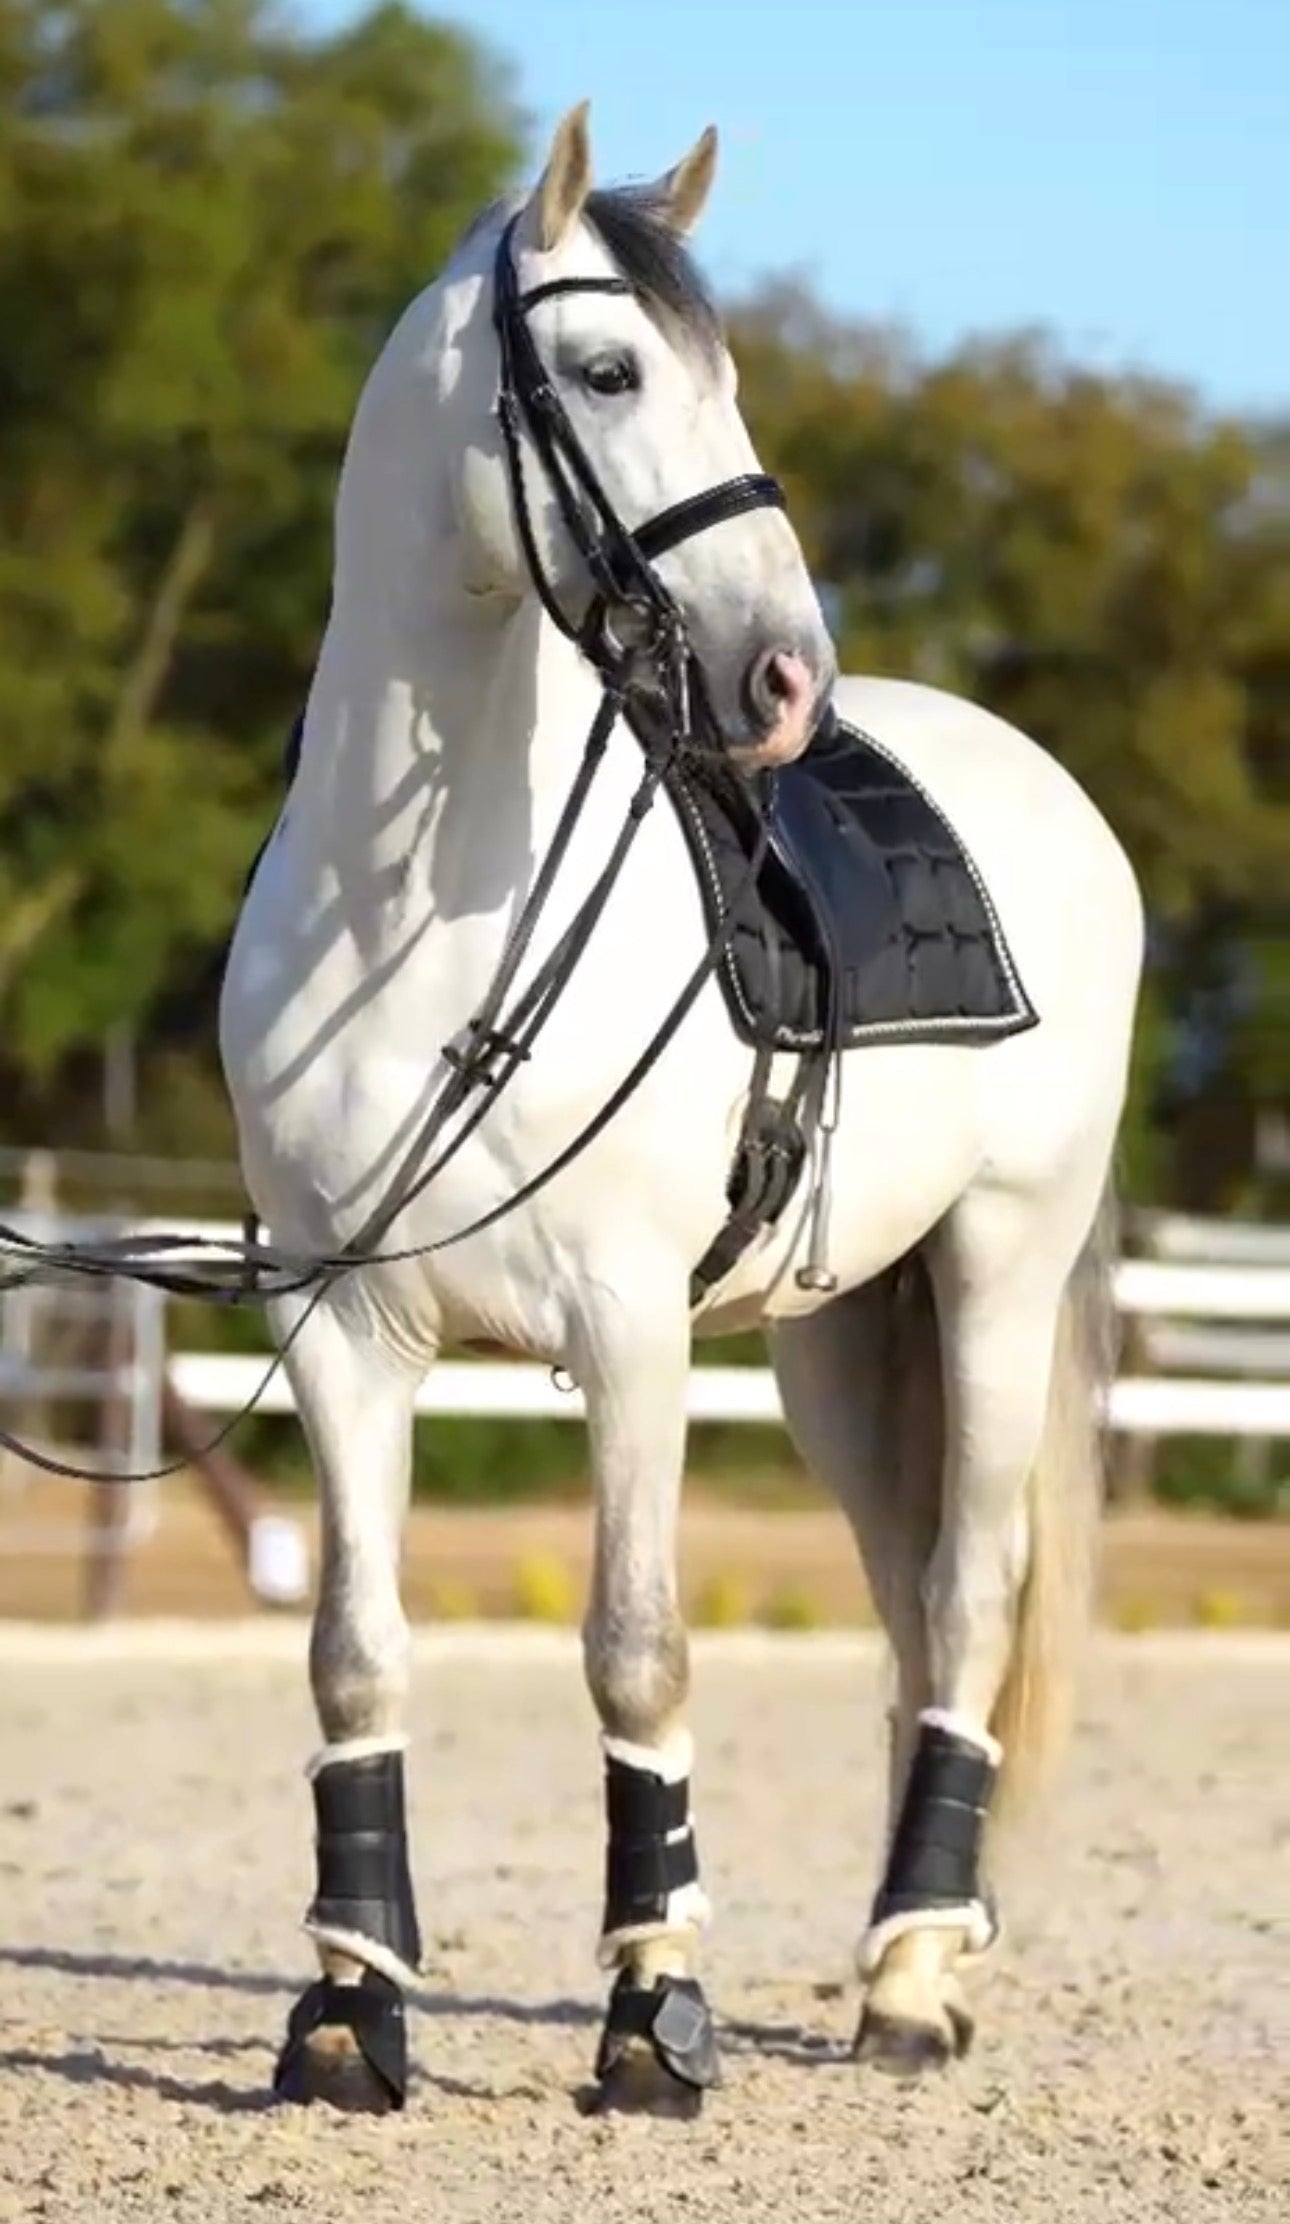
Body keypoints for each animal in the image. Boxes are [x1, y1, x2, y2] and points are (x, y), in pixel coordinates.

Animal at [219, 101, 1144, 2116]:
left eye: (723, 376)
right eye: (607, 369)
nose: (783, 677)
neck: (421, 920)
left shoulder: (627, 1328)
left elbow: (637, 1651)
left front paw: (655, 2013)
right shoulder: (340, 1327)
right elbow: (352, 1654)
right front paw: (346, 2010)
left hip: (996, 1270)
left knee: (970, 1585)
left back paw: (911, 1988)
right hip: (835, 1340)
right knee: (906, 1601)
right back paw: (915, 1938)